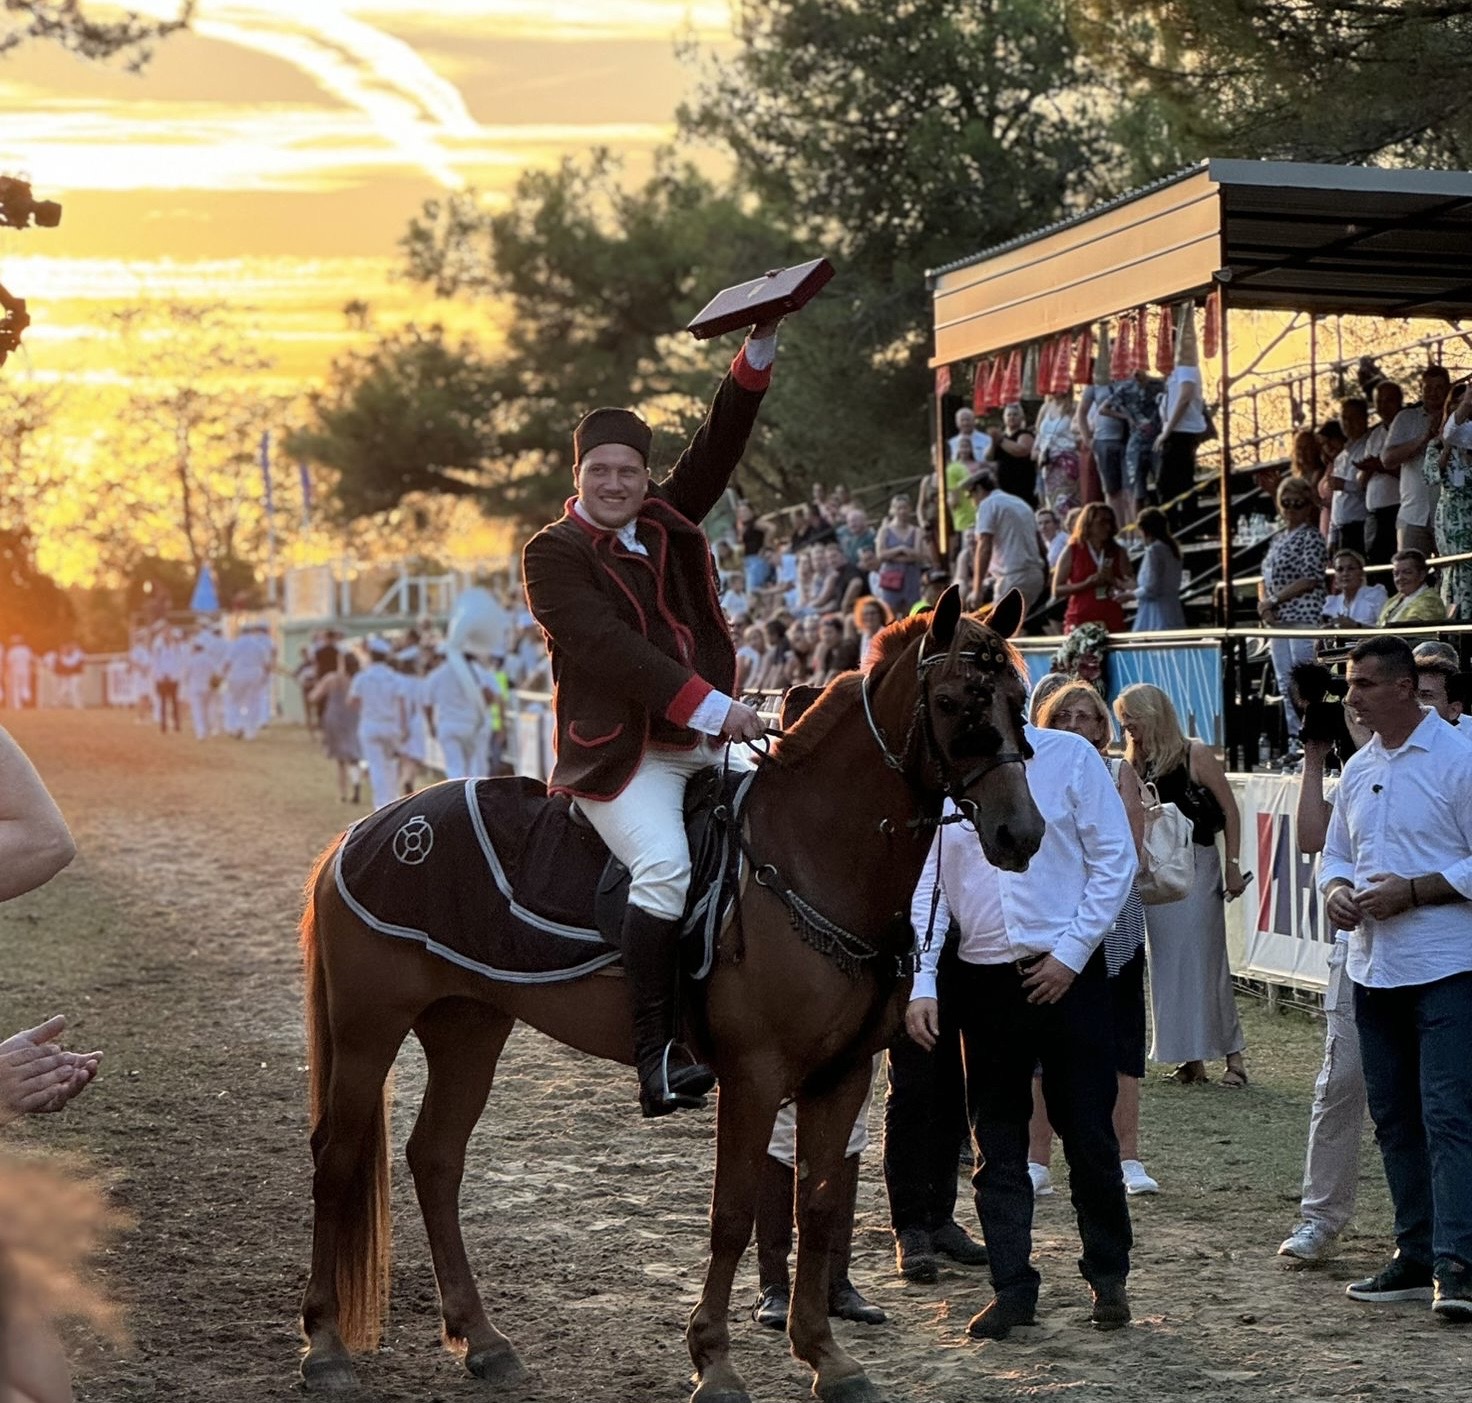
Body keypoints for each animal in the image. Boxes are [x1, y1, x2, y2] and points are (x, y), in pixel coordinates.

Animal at [292, 585, 1042, 1395]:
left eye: (1018, 700)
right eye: (952, 702)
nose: (1022, 834)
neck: (810, 855)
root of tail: (365, 830)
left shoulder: (841, 1075)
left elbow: (815, 1206)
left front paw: (826, 1356)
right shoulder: (754, 1075)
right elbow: (732, 1214)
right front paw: (714, 1361)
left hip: (469, 1027)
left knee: (436, 1160)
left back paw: (484, 1339)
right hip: (368, 1031)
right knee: (337, 1159)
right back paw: (325, 1347)